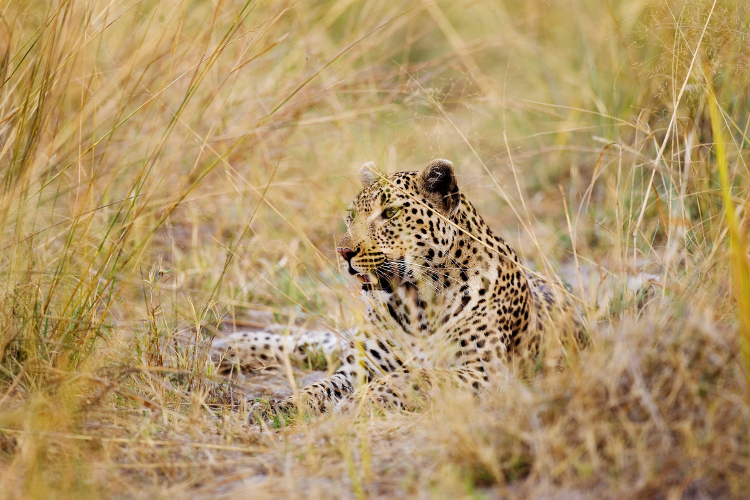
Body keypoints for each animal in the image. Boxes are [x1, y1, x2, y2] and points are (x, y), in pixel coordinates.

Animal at [212, 158, 588, 420]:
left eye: (389, 213)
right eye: (351, 216)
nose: (343, 252)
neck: (417, 302)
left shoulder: (484, 370)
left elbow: (415, 376)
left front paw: (355, 404)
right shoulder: (360, 368)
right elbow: (320, 385)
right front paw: (283, 405)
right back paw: (232, 345)